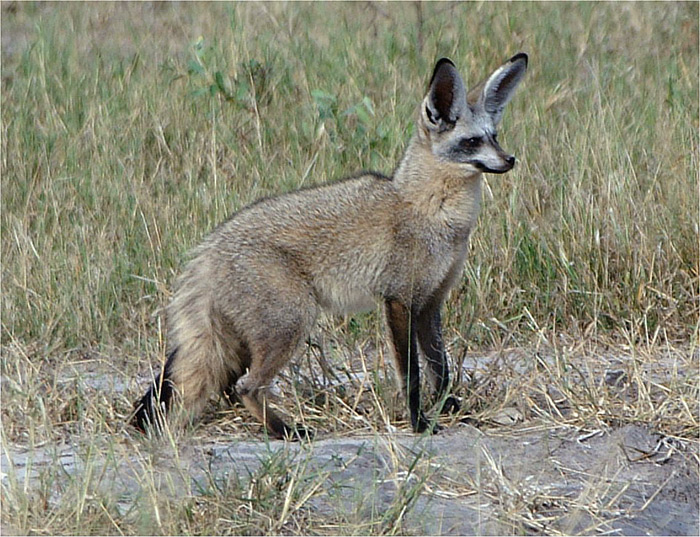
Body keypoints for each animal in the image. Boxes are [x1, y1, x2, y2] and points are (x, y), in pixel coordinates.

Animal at [131, 53, 528, 440]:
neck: (430, 210)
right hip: (292, 323)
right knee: (245, 386)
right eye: (472, 142)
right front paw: (419, 422)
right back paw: (287, 431)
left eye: (494, 136)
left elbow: (439, 370)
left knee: (229, 385)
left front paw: (453, 410)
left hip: (249, 338)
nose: (510, 160)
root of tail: (210, 246)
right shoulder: (399, 300)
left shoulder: (430, 303)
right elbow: (411, 375)